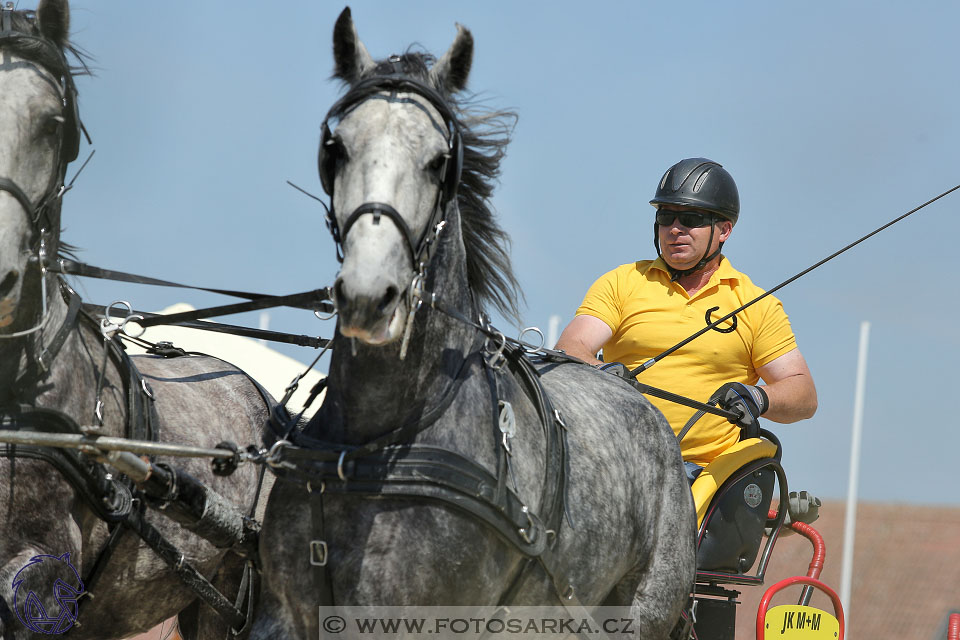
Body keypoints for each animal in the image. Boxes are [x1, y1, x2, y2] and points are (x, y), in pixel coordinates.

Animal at [251, 8, 692, 640]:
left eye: (440, 162)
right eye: (335, 147)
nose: (369, 296)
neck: (372, 444)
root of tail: (639, 398)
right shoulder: (284, 613)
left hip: (642, 609)